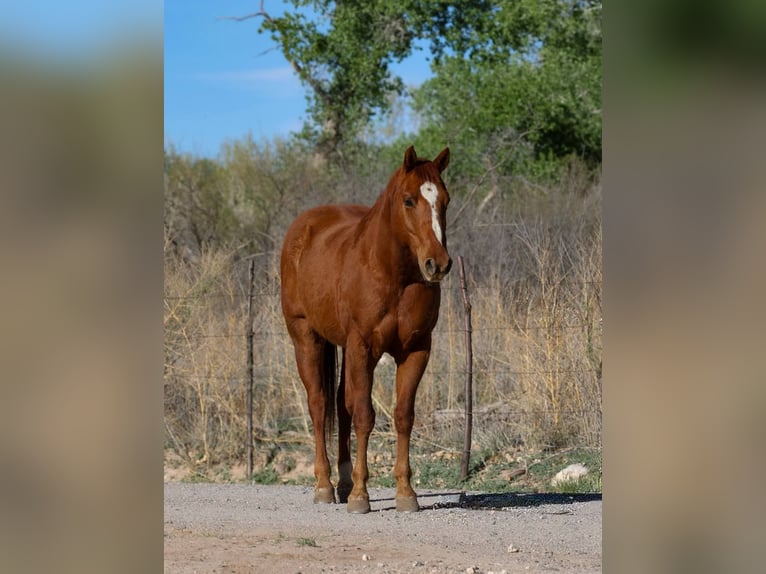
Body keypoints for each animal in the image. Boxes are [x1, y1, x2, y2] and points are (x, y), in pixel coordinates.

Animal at [280, 145, 452, 513]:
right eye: (408, 200)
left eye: (445, 200)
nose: (438, 264)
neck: (393, 275)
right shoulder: (363, 346)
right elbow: (364, 416)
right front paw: (361, 495)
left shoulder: (416, 350)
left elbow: (402, 416)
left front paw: (405, 492)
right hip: (306, 338)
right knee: (319, 405)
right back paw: (325, 486)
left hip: (346, 348)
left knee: (340, 404)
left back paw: (343, 483)